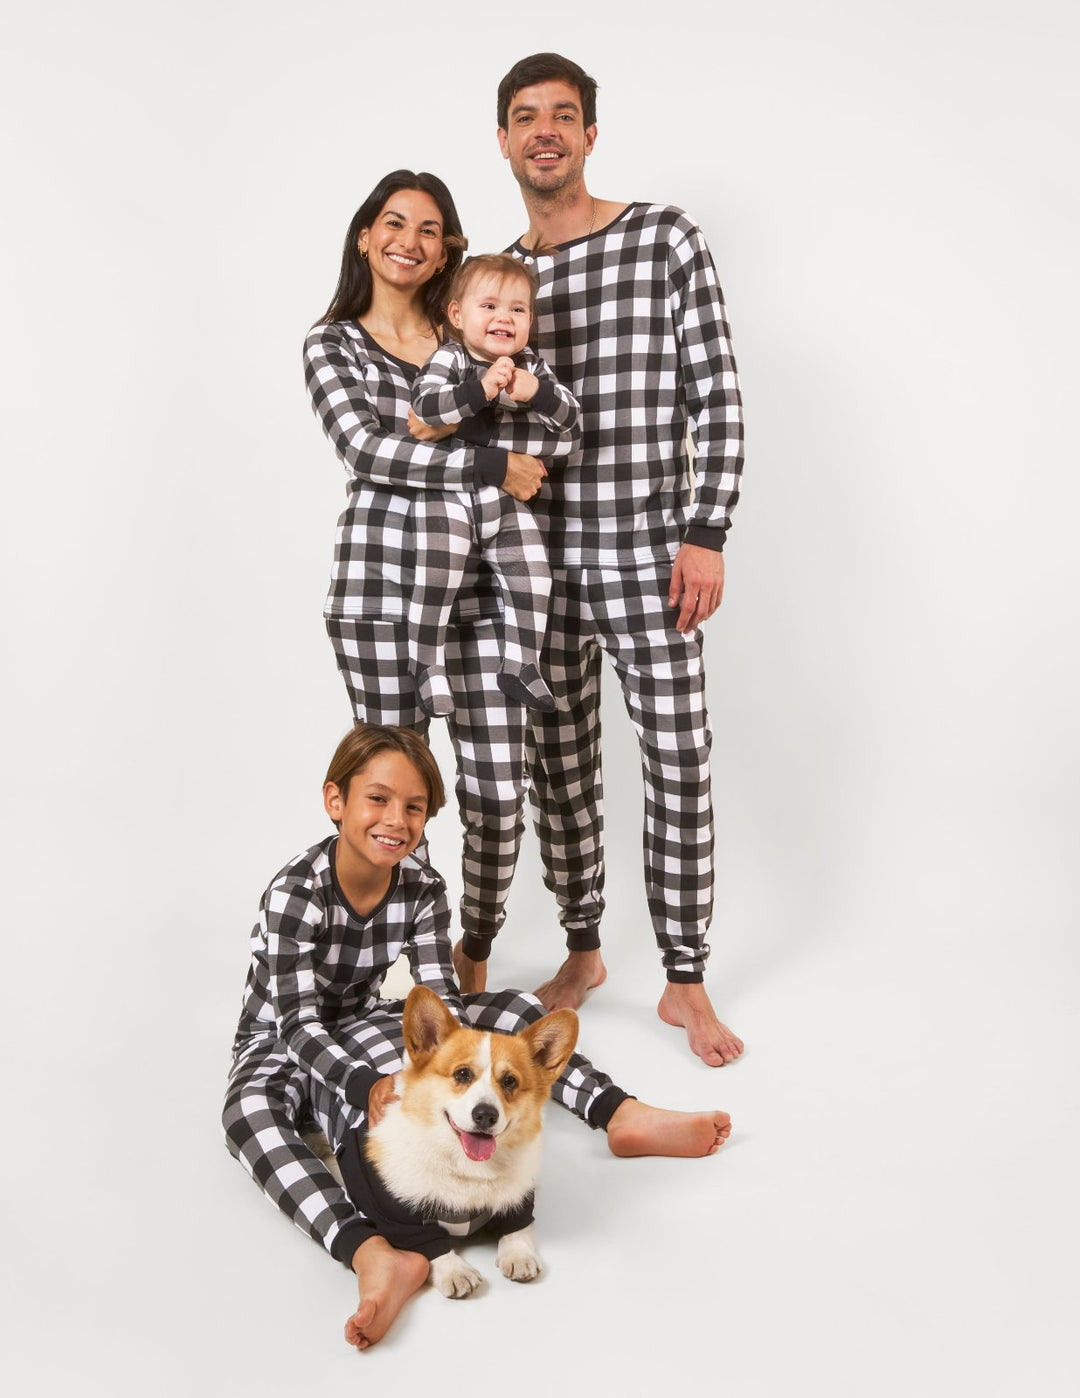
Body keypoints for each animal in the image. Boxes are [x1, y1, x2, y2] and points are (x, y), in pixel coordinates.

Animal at [356, 984, 578, 1297]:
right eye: (462, 1074)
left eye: (510, 1081)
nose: (485, 1115)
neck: (467, 1169)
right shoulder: (395, 1216)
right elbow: (429, 1242)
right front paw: (455, 1271)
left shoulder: (519, 1198)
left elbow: (518, 1226)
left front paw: (519, 1255)